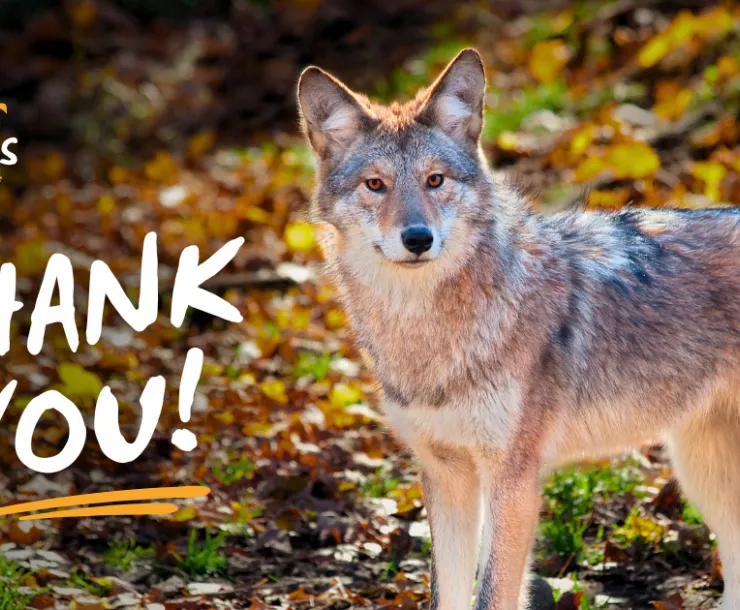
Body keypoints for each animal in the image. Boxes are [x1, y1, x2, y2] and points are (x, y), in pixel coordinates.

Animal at [296, 48, 740, 610]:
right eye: (375, 185)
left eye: (435, 180)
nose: (418, 238)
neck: (429, 334)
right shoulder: (446, 475)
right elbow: (447, 594)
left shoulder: (514, 480)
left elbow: (492, 593)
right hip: (702, 472)